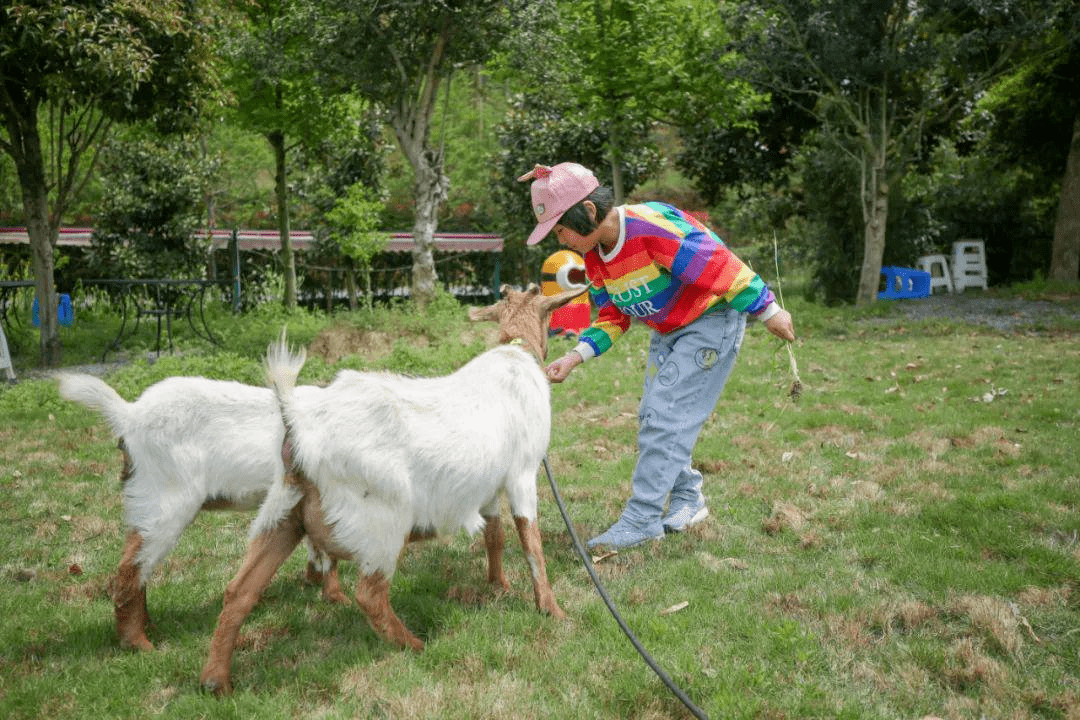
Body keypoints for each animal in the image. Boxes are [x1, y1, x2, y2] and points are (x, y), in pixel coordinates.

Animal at [56, 375, 341, 651]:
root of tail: (129, 415)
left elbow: (318, 544)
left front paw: (317, 584)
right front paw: (336, 596)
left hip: (144, 504)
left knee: (138, 560)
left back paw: (150, 629)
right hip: (166, 501)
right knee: (130, 568)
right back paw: (139, 643)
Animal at [198, 284, 587, 695]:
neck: (517, 352)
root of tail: (300, 429)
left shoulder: (485, 486)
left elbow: (494, 536)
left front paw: (499, 584)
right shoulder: (522, 473)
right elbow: (531, 543)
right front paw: (552, 609)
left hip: (284, 512)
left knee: (239, 591)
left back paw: (215, 680)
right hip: (380, 523)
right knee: (369, 595)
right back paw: (415, 645)